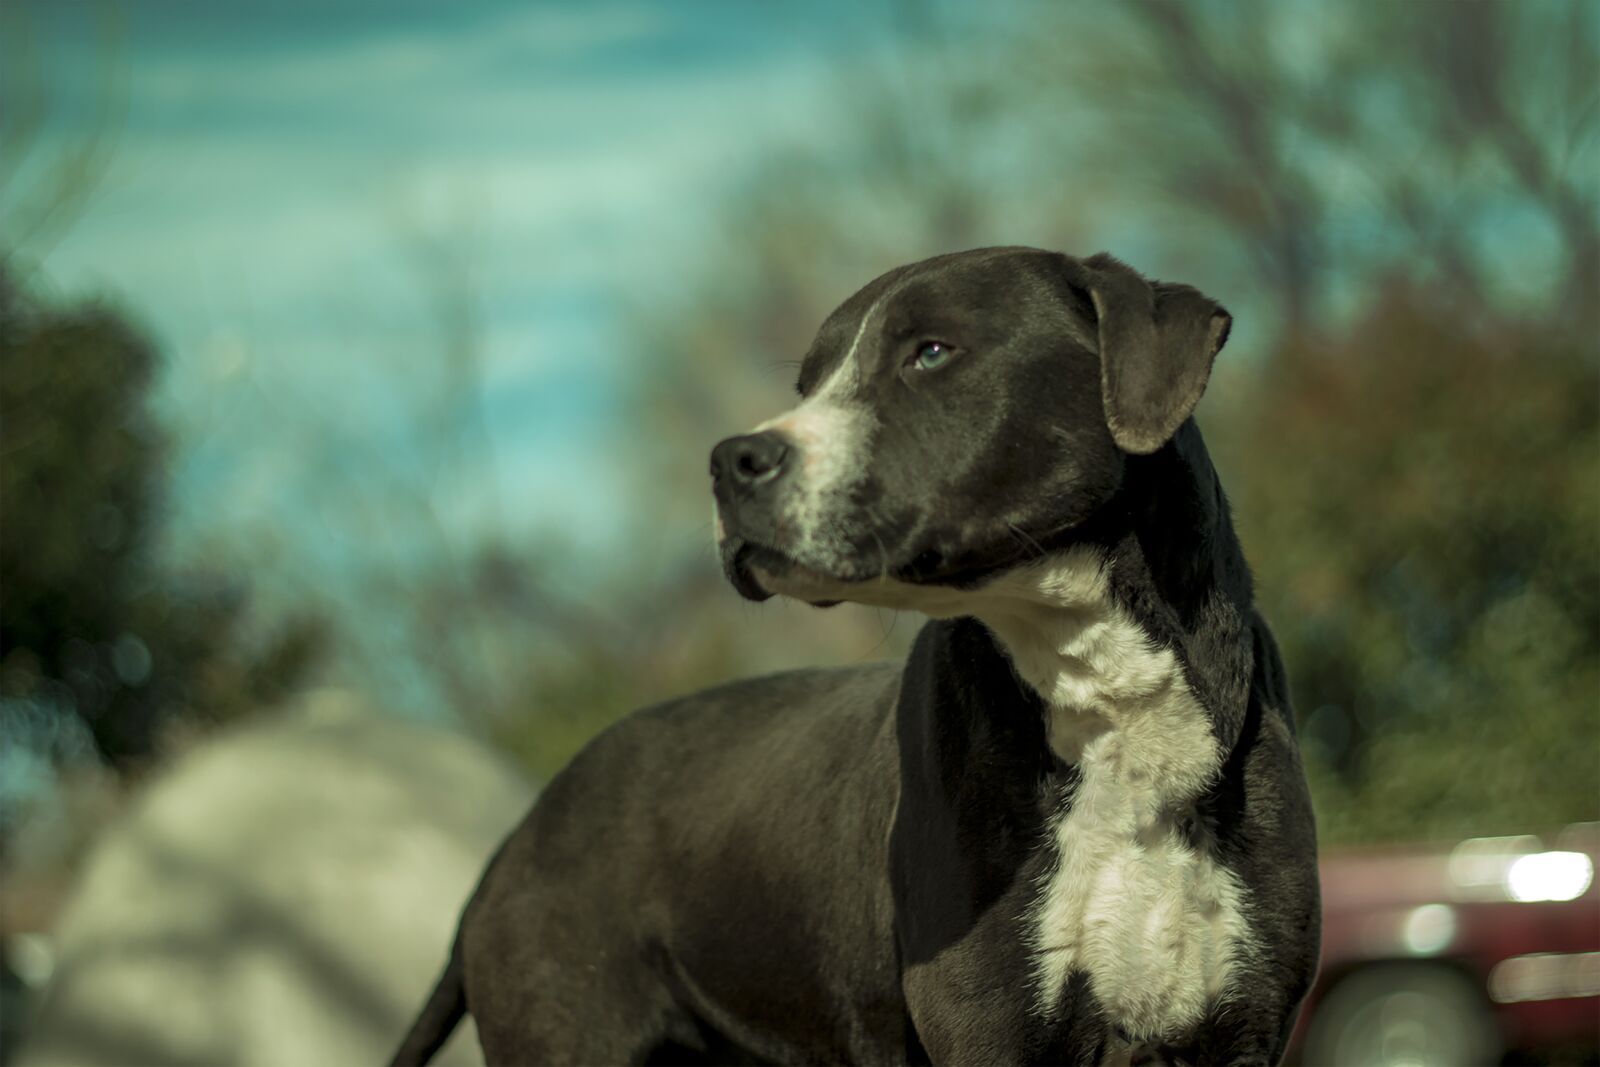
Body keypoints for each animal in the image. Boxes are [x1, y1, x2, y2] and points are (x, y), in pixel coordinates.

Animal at [393, 247, 1318, 1067]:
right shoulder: (988, 1025)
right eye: (807, 385)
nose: (731, 459)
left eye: (931, 352)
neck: (1098, 690)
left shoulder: (1243, 1029)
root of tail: (522, 830)